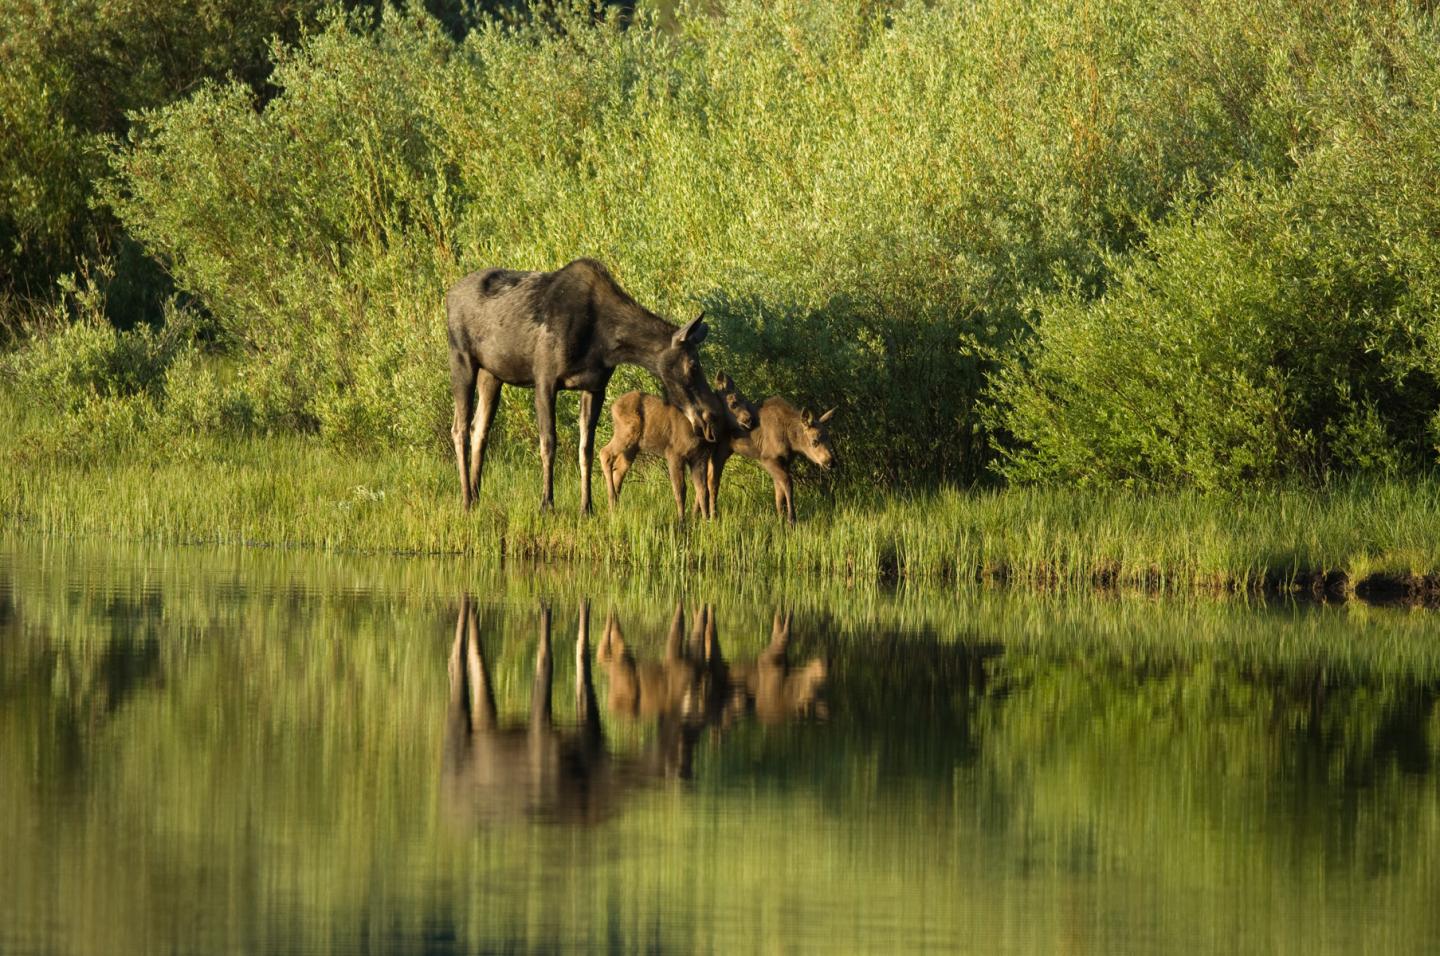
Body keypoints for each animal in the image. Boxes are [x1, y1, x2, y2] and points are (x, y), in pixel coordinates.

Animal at [445, 258, 726, 513]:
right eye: (693, 365)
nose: (711, 416)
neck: (606, 343)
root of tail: (448, 297)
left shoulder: (594, 387)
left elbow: (586, 449)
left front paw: (587, 507)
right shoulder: (544, 380)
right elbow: (549, 443)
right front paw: (546, 504)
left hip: (492, 374)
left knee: (479, 429)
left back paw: (476, 495)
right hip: (461, 359)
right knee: (459, 428)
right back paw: (466, 500)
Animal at [597, 372, 759, 520]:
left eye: (744, 400)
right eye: (734, 403)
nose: (749, 419)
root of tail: (612, 407)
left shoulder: (699, 458)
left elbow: (702, 490)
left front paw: (705, 520)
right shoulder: (674, 453)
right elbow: (680, 489)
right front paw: (682, 521)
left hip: (632, 448)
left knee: (618, 472)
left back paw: (614, 509)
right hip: (627, 434)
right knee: (604, 452)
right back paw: (611, 500)